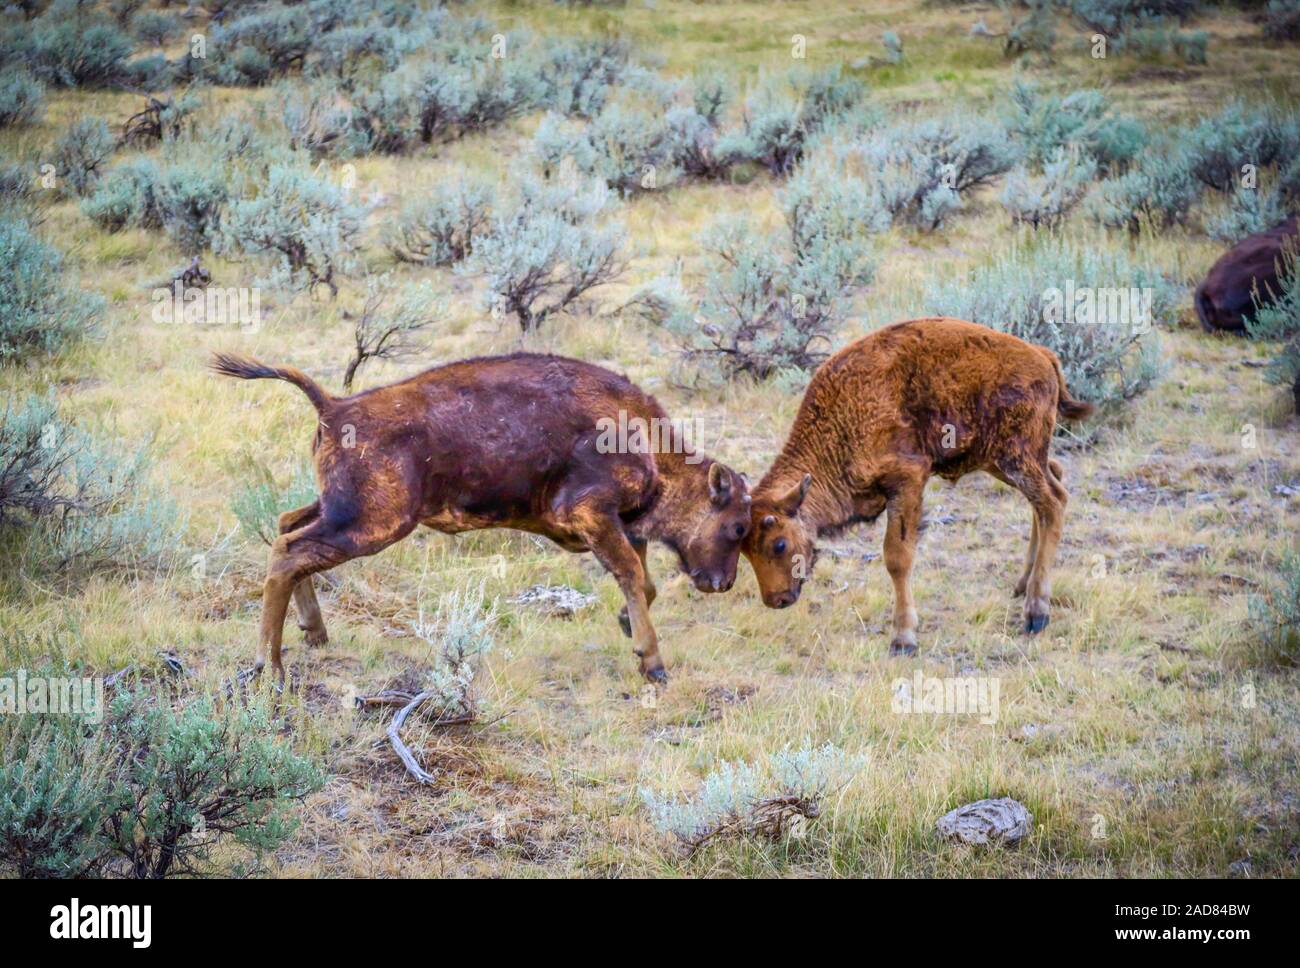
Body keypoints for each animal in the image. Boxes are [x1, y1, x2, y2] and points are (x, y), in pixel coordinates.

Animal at [213, 350, 754, 686]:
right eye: (737, 526)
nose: (721, 582)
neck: (646, 442)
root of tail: (334, 405)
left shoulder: (619, 527)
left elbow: (643, 583)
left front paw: (628, 628)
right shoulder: (593, 515)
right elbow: (634, 577)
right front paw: (653, 663)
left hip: (338, 509)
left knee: (287, 526)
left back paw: (314, 634)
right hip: (372, 523)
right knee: (289, 552)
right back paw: (271, 668)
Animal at [738, 317, 1092, 657]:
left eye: (779, 544)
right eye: (745, 551)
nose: (776, 599)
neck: (841, 421)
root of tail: (1044, 357)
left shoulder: (907, 481)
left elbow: (897, 557)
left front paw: (903, 639)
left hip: (1015, 458)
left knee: (1053, 503)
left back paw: (1036, 613)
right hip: (1002, 460)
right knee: (1052, 482)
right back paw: (1021, 586)